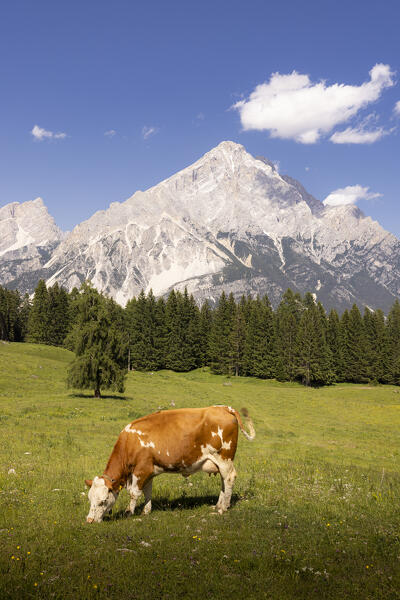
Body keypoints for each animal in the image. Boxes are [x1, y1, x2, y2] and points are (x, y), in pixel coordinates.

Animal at [84, 406, 255, 524]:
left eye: (103, 501)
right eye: (90, 498)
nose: (89, 520)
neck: (130, 442)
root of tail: (224, 407)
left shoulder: (141, 469)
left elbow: (134, 493)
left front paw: (128, 512)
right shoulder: (149, 470)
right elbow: (147, 491)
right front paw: (146, 511)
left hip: (224, 458)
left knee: (229, 478)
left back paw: (223, 508)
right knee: (223, 480)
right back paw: (218, 505)